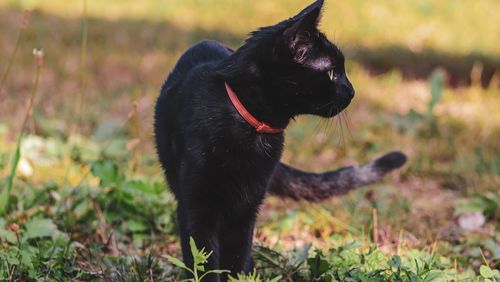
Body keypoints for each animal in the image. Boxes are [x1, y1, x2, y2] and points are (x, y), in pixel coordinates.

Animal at [153, 0, 406, 280]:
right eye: (331, 72)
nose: (352, 91)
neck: (251, 132)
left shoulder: (246, 207)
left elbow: (236, 257)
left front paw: (241, 275)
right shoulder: (196, 207)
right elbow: (203, 261)